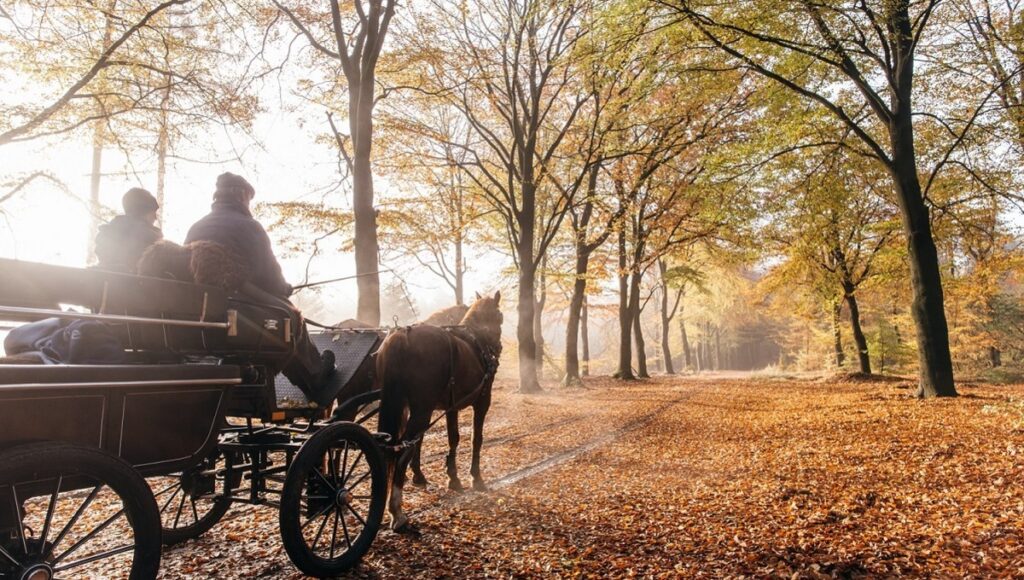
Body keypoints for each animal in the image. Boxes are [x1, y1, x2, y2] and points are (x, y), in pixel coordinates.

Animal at [376, 293, 503, 532]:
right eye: (499, 316)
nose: (498, 348)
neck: (476, 342)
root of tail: (403, 335)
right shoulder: (482, 402)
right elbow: (476, 439)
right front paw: (476, 477)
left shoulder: (451, 407)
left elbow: (453, 438)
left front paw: (453, 478)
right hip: (422, 411)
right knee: (401, 449)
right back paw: (397, 510)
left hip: (406, 407)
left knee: (399, 445)